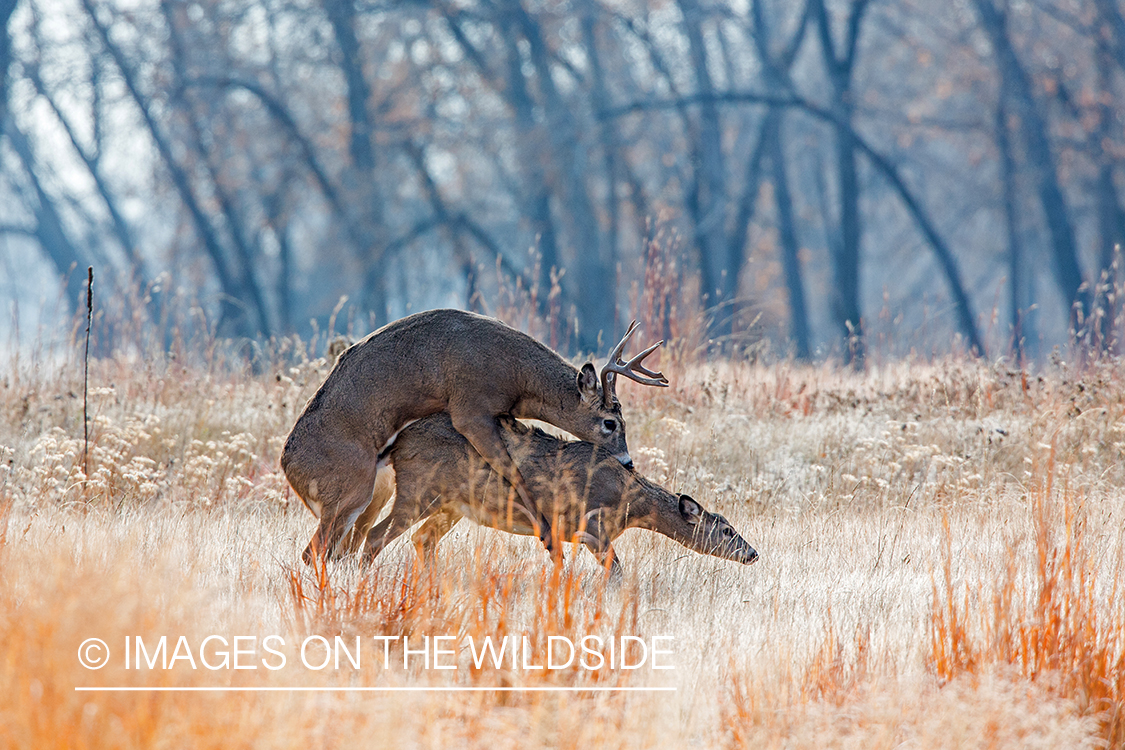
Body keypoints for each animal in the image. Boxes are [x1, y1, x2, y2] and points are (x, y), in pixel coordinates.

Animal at [283, 310, 666, 562]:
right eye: (610, 423)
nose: (628, 463)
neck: (517, 374)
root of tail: (289, 468)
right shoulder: (471, 407)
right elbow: (512, 471)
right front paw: (548, 537)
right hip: (350, 489)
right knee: (315, 551)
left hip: (379, 489)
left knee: (342, 548)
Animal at [355, 413, 760, 571]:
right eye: (726, 530)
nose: (753, 552)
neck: (629, 500)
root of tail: (396, 442)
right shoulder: (590, 526)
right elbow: (617, 574)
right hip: (418, 490)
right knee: (374, 537)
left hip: (452, 506)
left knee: (421, 540)